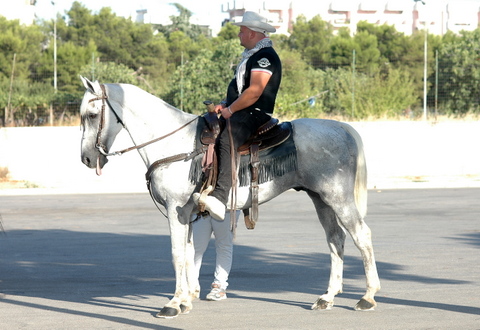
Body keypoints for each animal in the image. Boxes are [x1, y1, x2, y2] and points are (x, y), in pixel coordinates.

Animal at [79, 76, 380, 318]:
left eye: (92, 115)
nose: (86, 158)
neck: (173, 143)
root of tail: (342, 128)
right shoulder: (188, 215)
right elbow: (189, 254)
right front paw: (186, 301)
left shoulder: (176, 210)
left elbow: (177, 254)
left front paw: (173, 303)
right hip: (321, 199)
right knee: (336, 239)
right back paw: (327, 297)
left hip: (338, 196)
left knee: (361, 235)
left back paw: (367, 297)